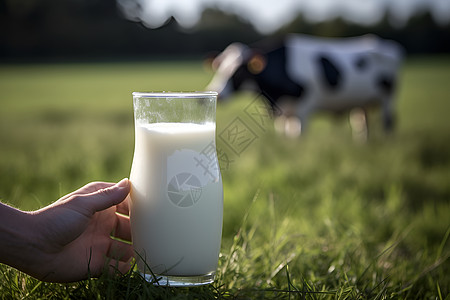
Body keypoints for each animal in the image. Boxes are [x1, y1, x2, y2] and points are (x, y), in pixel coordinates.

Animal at [206, 34, 402, 140]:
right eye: (220, 67)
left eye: (238, 71)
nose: (218, 92)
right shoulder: (283, 111)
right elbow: (286, 136)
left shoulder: (304, 108)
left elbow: (298, 136)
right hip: (362, 103)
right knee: (362, 124)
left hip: (388, 97)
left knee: (388, 123)